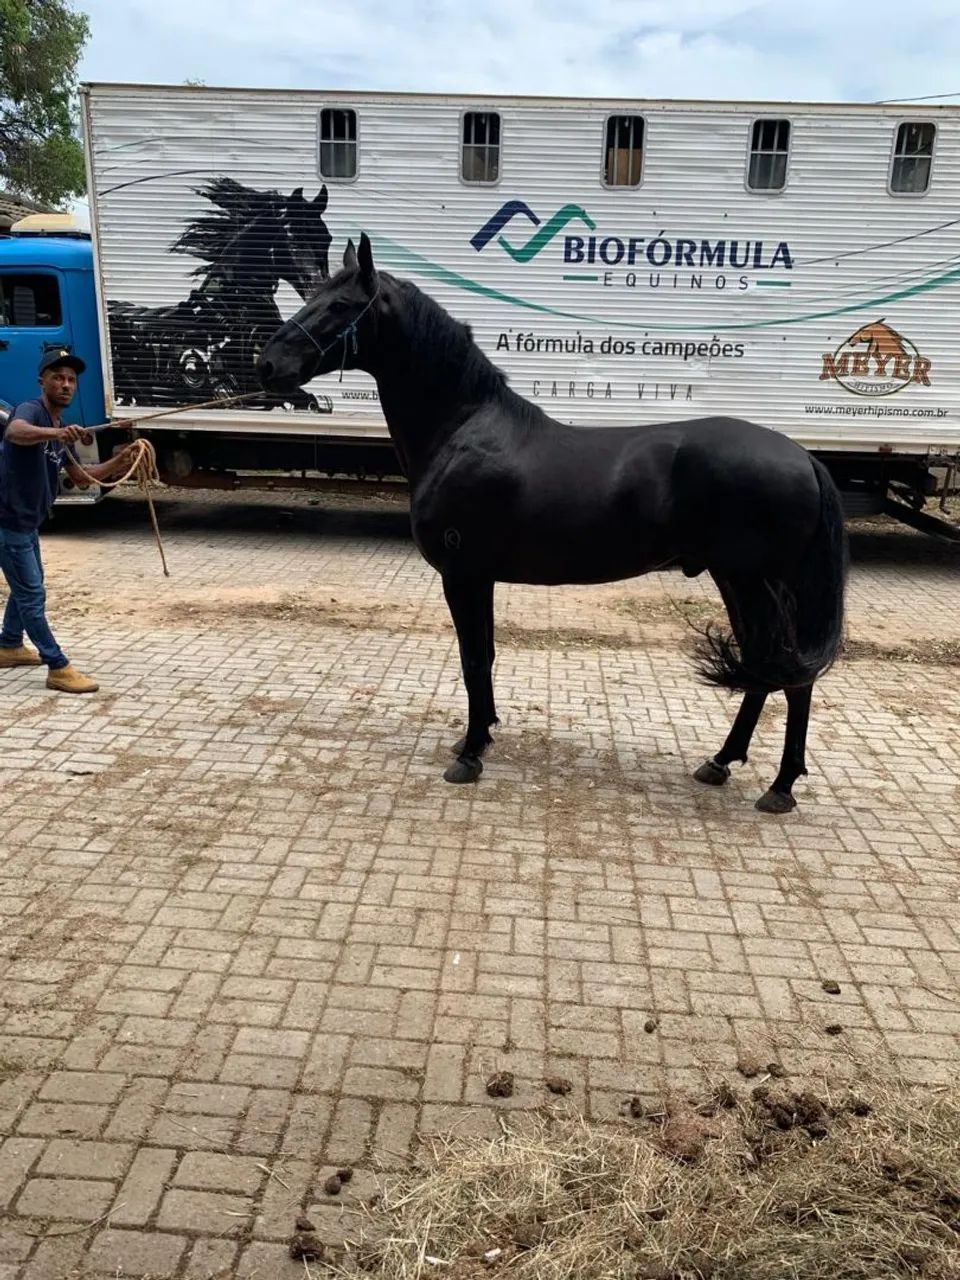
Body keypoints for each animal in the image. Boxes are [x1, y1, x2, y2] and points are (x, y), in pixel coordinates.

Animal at [258, 235, 848, 814]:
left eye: (339, 305)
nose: (267, 364)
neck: (461, 428)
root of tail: (803, 457)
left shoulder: (463, 574)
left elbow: (475, 658)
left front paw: (469, 756)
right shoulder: (479, 577)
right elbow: (485, 656)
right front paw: (480, 737)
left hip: (757, 582)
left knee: (790, 673)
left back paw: (780, 788)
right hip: (737, 581)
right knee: (765, 665)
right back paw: (720, 763)